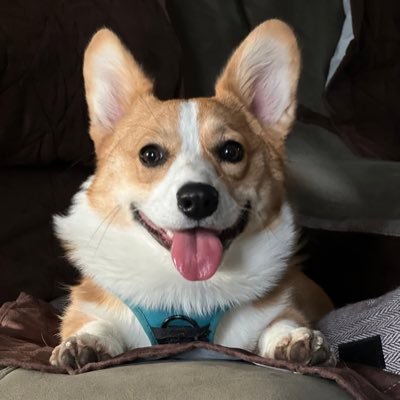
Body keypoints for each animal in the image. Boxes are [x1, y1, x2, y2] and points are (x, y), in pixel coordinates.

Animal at [51, 19, 336, 368]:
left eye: (231, 150)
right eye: (150, 155)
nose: (198, 199)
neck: (187, 294)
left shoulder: (280, 305)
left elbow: (282, 320)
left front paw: (295, 338)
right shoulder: (89, 302)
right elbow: (92, 321)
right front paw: (86, 342)